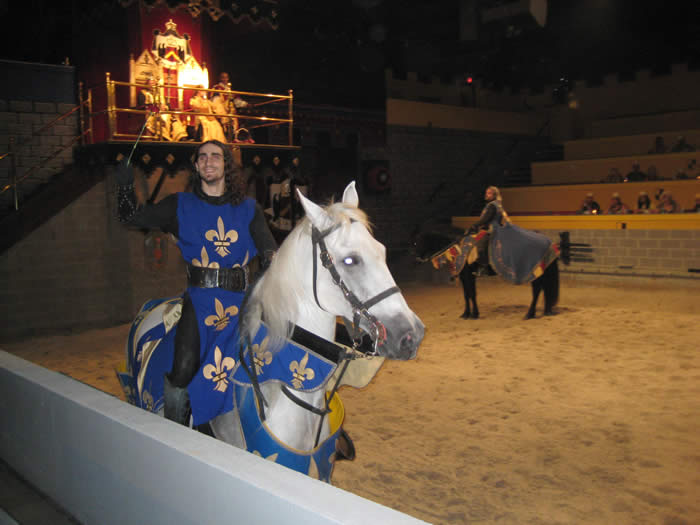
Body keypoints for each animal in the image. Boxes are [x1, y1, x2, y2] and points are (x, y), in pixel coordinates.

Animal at [416, 226, 568, 320]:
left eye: (416, 243)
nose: (417, 260)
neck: (459, 247)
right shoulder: (465, 276)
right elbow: (467, 294)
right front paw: (466, 313)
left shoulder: (467, 275)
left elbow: (471, 294)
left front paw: (473, 314)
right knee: (543, 289)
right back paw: (544, 311)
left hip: (534, 273)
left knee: (537, 290)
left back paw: (529, 314)